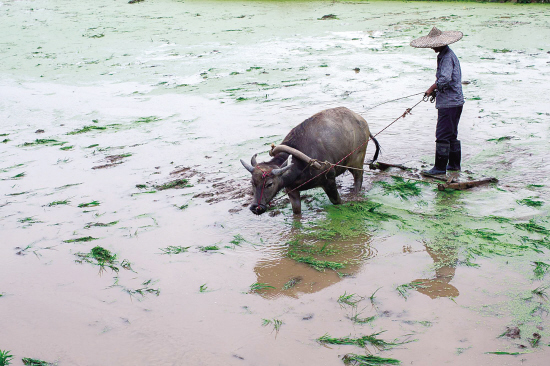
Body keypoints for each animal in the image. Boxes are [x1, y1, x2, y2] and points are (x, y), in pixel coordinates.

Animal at [242, 106, 380, 214]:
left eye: (270, 184)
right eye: (252, 182)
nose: (255, 208)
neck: (300, 164)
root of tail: (362, 121)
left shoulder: (329, 180)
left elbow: (337, 202)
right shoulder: (291, 190)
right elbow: (296, 211)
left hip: (357, 161)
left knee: (359, 177)